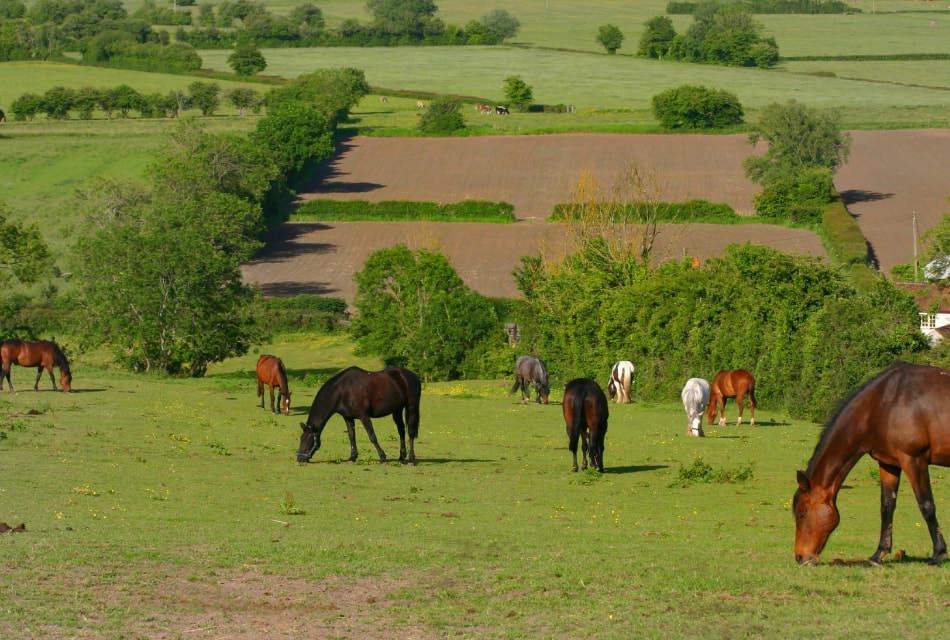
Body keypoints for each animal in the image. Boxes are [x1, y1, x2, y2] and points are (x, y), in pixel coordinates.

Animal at [796, 362, 950, 568]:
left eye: (802, 513)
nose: (800, 557)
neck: (883, 404)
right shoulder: (889, 463)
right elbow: (886, 507)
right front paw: (878, 555)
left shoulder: (914, 460)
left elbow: (927, 506)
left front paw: (938, 554)